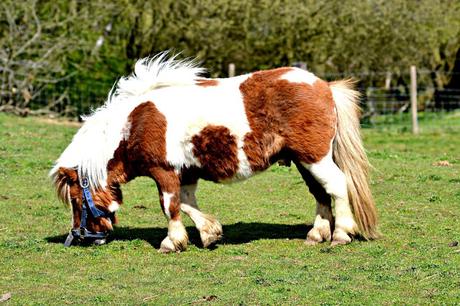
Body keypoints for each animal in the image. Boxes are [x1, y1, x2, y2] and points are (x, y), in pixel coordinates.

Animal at [50, 52, 380, 252]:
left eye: (77, 201)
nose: (88, 237)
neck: (135, 123)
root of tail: (325, 86)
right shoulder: (186, 173)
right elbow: (187, 204)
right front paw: (209, 233)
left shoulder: (163, 171)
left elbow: (170, 206)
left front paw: (172, 242)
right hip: (304, 161)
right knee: (321, 193)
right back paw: (316, 234)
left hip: (315, 158)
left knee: (337, 186)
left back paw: (341, 234)